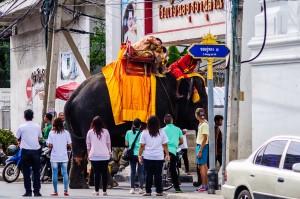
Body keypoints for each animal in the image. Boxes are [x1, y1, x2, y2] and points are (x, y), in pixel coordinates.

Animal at [64, 71, 207, 188]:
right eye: (200, 105)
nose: (196, 183)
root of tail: (72, 97)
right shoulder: (159, 109)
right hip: (90, 116)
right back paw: (110, 184)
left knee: (79, 147)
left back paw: (81, 186)